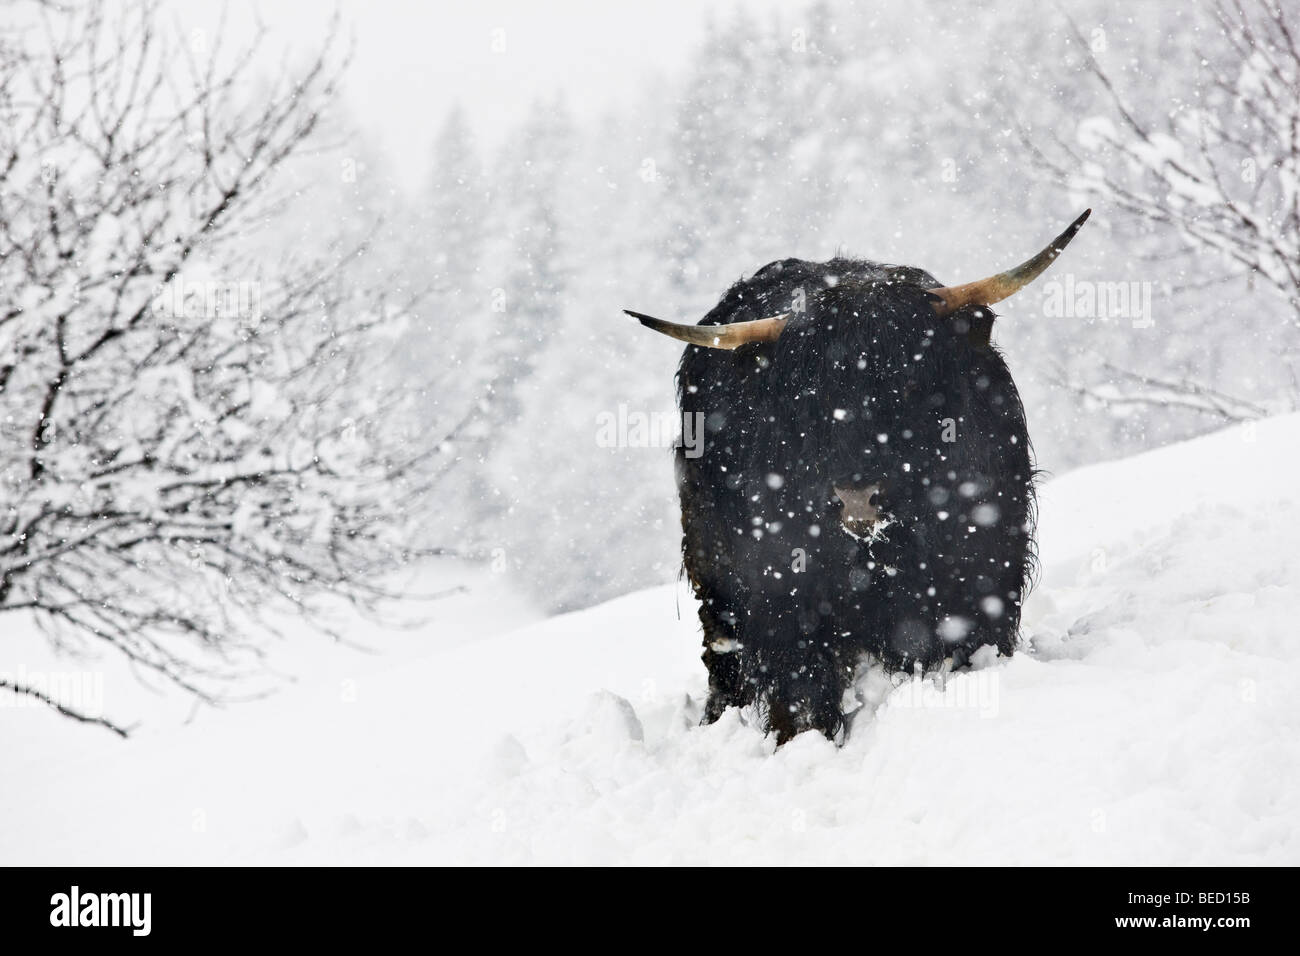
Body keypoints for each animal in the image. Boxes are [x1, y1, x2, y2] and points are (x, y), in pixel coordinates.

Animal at [628, 211, 1090, 744]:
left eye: (909, 384)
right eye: (810, 401)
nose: (856, 499)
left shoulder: (983, 572)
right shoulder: (787, 601)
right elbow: (802, 699)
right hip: (712, 571)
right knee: (723, 654)